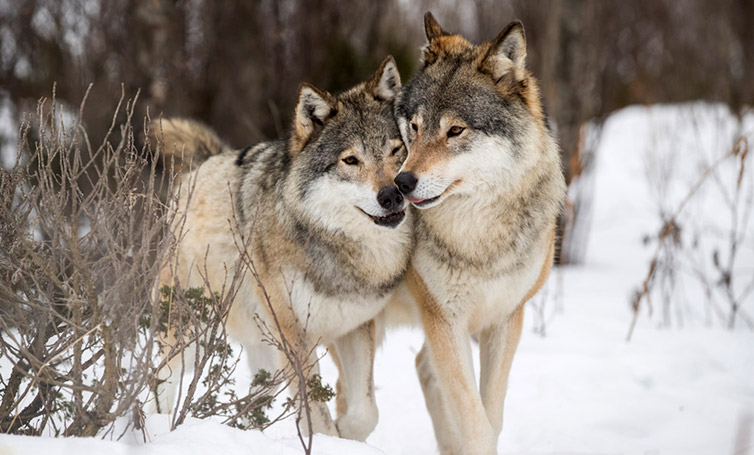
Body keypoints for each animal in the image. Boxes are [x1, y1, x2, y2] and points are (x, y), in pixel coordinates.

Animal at [152, 54, 412, 442]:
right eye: (351, 160)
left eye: (396, 151)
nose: (392, 194)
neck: (339, 247)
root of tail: (198, 168)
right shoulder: (295, 337)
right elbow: (317, 415)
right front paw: (329, 440)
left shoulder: (355, 328)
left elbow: (365, 411)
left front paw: (347, 434)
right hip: (189, 334)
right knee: (158, 384)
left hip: (266, 355)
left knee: (253, 399)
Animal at [388, 12, 564, 454]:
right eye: (414, 127)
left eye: (455, 131)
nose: (401, 184)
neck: (477, 239)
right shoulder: (444, 320)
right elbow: (476, 422)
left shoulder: (505, 319)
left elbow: (492, 416)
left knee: (422, 367)